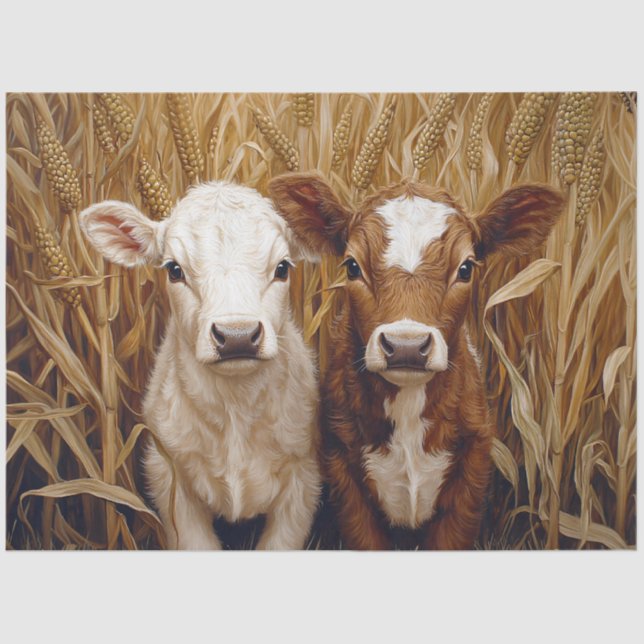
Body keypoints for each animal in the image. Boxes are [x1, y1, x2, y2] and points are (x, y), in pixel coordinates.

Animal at [80, 181, 321, 550]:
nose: (237, 335)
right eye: (174, 270)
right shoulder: (168, 475)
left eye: (282, 268)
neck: (235, 407)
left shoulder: (302, 478)